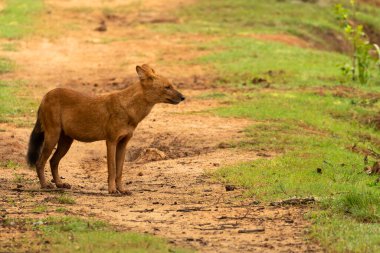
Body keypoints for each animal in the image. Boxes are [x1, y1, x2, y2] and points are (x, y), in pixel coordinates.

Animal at [26, 64, 186, 194]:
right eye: (167, 87)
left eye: (172, 85)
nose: (183, 97)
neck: (130, 110)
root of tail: (45, 96)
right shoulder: (111, 141)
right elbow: (112, 169)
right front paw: (112, 190)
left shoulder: (123, 143)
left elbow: (120, 170)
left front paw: (122, 190)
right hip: (52, 135)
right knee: (40, 162)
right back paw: (45, 185)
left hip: (66, 141)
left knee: (53, 161)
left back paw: (60, 184)